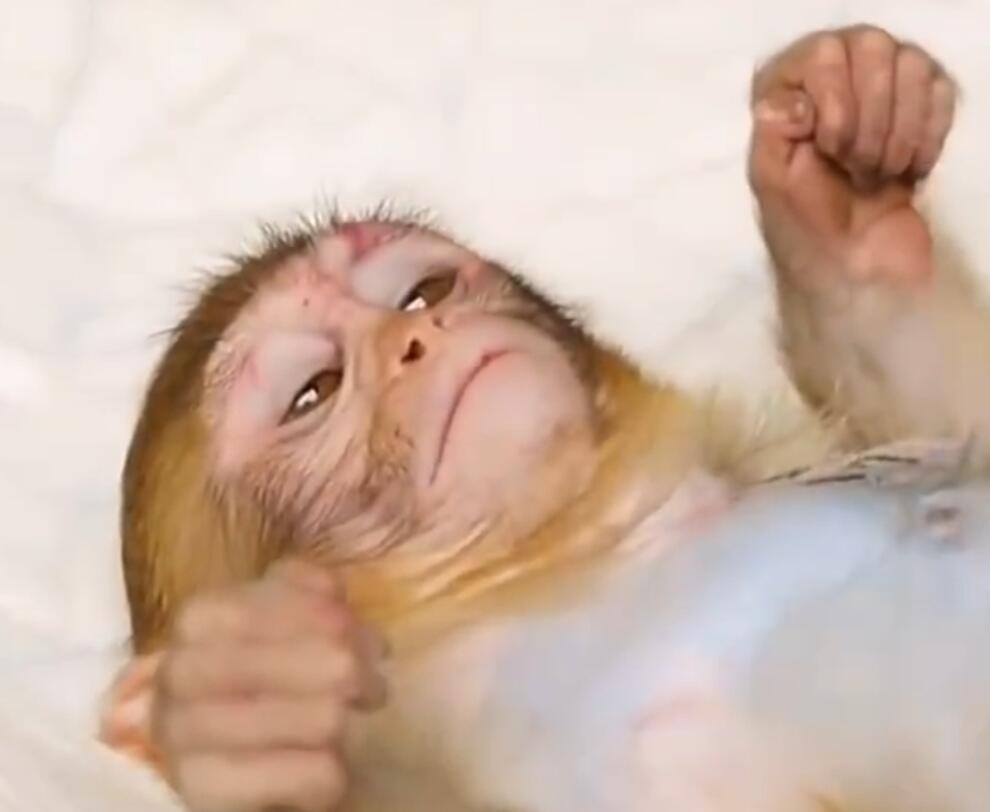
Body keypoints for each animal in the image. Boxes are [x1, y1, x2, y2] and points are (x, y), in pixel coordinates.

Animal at [97, 24, 990, 812]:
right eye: (314, 389)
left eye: (421, 294)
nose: (419, 341)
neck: (595, 558)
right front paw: (245, 703)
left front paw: (841, 198)